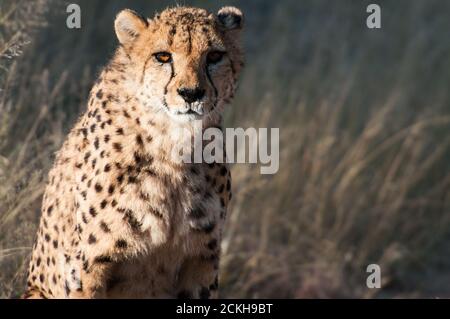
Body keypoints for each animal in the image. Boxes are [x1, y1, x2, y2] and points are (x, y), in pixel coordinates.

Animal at [23, 5, 244, 300]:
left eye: (215, 56)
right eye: (163, 56)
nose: (191, 93)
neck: (173, 143)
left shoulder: (201, 260)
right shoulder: (88, 265)